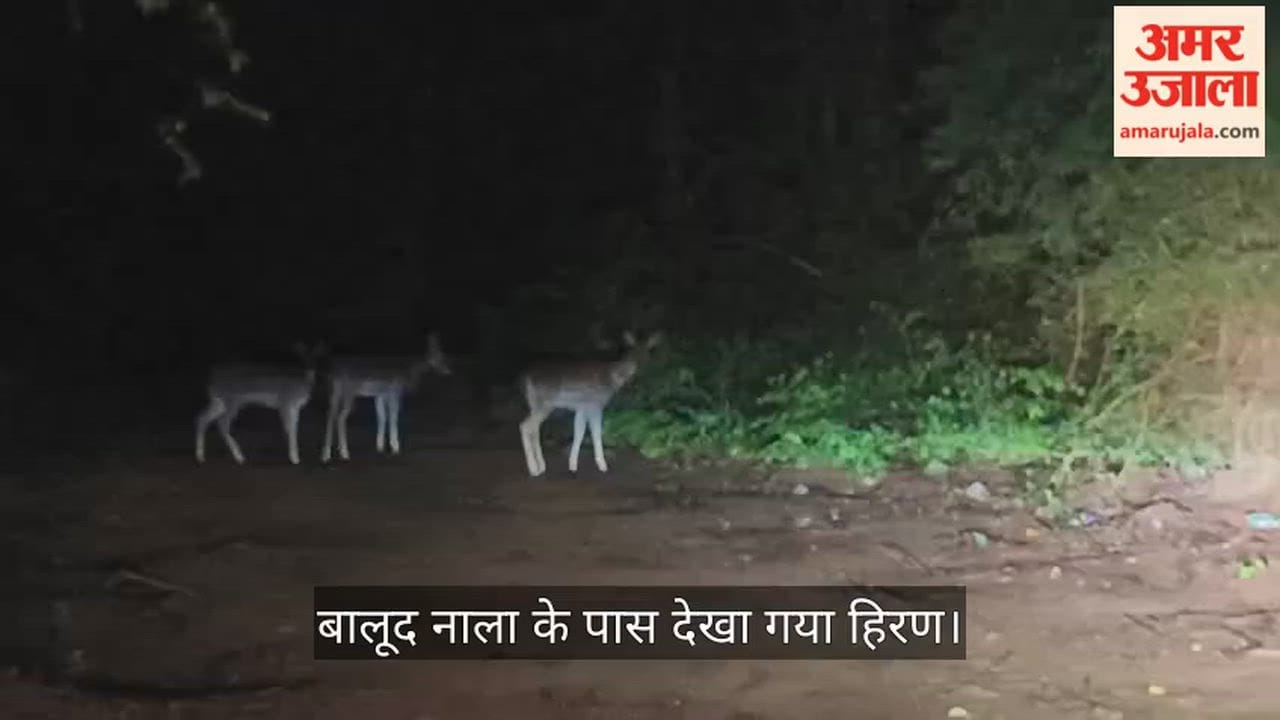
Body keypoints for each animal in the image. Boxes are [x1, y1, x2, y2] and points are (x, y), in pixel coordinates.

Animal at [195, 341, 326, 465]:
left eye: (316, 356)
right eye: (303, 355)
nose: (310, 368)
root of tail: (211, 379)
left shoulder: (295, 407)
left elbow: (295, 427)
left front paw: (296, 457)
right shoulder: (285, 402)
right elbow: (289, 428)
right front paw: (294, 458)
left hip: (218, 401)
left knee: (202, 418)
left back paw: (200, 457)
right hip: (232, 401)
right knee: (222, 423)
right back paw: (240, 458)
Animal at [320, 332, 452, 462]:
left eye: (443, 356)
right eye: (439, 356)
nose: (448, 371)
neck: (407, 376)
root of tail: (334, 373)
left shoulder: (380, 395)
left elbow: (382, 417)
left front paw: (380, 447)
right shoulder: (394, 393)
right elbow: (393, 417)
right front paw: (395, 448)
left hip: (335, 392)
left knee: (330, 414)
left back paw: (326, 455)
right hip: (349, 392)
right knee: (340, 417)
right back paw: (344, 454)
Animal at [518, 330, 662, 477]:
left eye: (648, 351)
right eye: (634, 351)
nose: (642, 367)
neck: (613, 379)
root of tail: (525, 377)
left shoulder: (582, 407)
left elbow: (579, 432)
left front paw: (573, 465)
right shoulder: (595, 404)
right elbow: (595, 432)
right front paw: (602, 466)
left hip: (535, 403)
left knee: (534, 428)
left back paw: (541, 466)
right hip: (545, 402)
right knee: (525, 426)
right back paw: (533, 469)